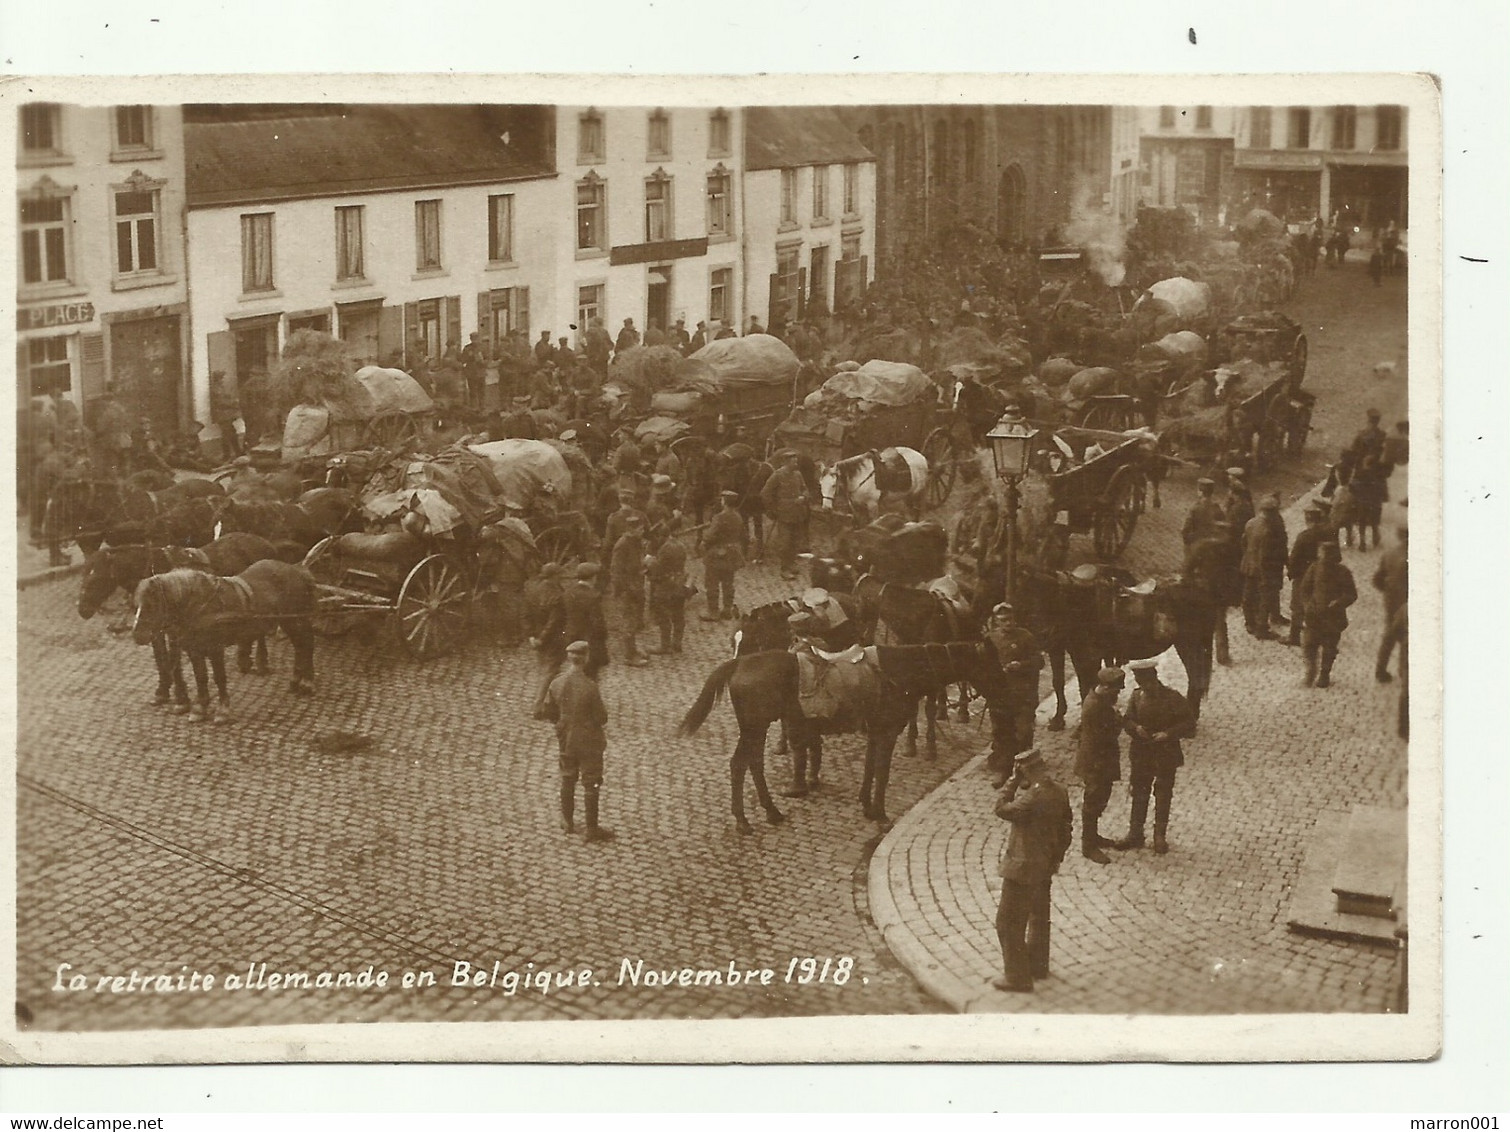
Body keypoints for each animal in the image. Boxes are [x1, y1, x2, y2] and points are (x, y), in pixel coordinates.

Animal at [134, 564, 317, 721]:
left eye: (150, 604)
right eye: (137, 603)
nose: (136, 635)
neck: (200, 606)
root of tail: (298, 571)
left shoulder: (215, 648)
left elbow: (219, 677)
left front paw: (222, 711)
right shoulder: (195, 649)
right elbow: (201, 676)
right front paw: (200, 708)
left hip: (295, 620)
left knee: (307, 644)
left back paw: (307, 683)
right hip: (288, 621)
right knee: (300, 647)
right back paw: (296, 681)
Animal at [682, 642, 1014, 839]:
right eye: (989, 662)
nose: (1005, 689)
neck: (899, 670)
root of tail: (739, 663)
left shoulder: (876, 729)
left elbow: (869, 768)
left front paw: (866, 804)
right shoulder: (887, 731)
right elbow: (882, 772)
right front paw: (880, 813)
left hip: (756, 729)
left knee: (751, 764)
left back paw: (770, 812)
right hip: (755, 727)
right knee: (741, 764)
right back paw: (744, 820)